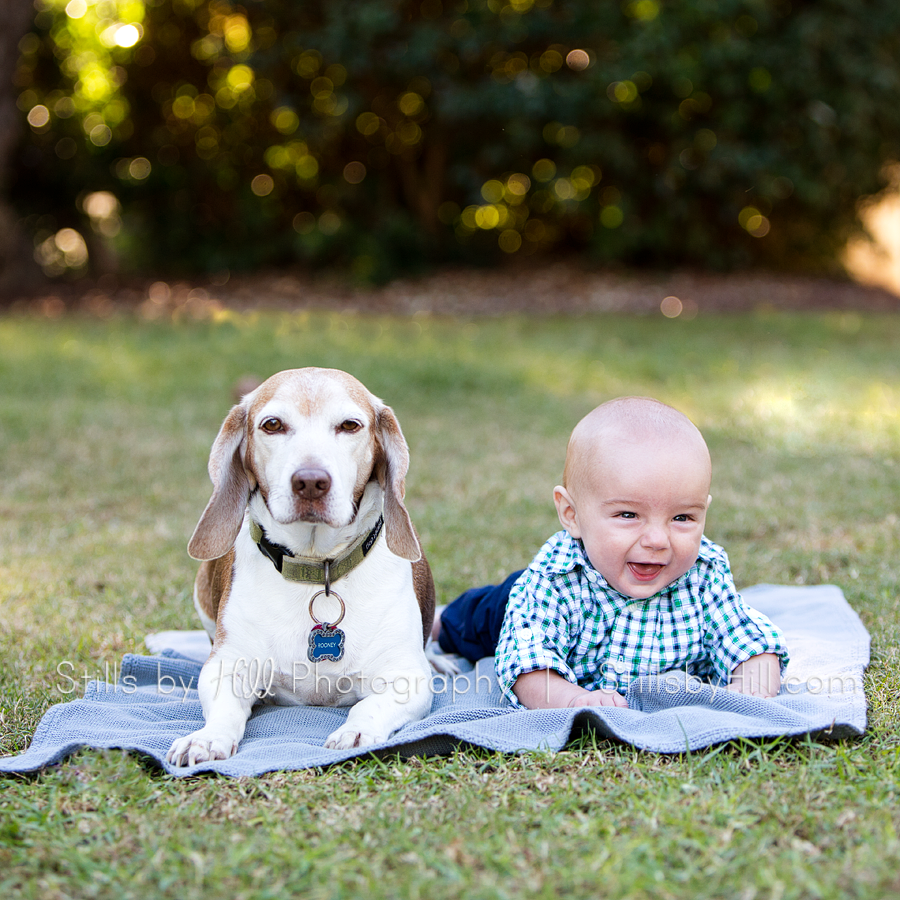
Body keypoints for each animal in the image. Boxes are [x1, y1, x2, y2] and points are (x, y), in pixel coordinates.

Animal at [170, 368, 440, 768]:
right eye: (272, 424)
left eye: (349, 425)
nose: (311, 481)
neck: (318, 570)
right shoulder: (226, 664)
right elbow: (225, 708)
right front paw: (206, 738)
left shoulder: (407, 676)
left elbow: (368, 707)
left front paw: (356, 731)